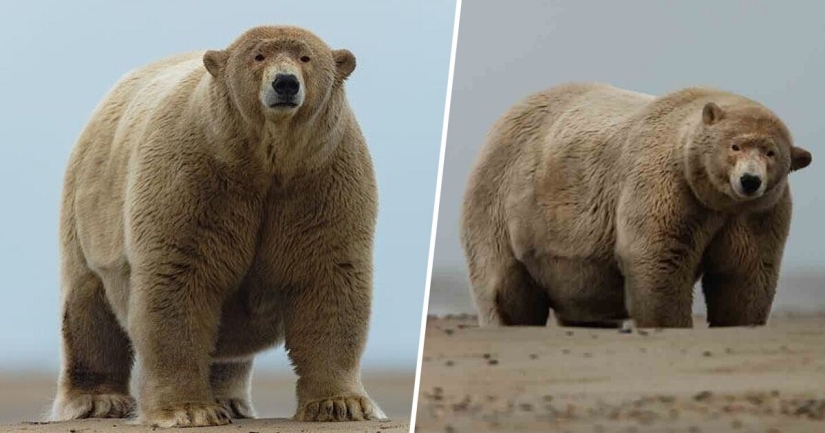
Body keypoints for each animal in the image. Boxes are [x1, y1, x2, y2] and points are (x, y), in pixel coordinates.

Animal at [51, 25, 386, 427]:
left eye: (306, 57)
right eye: (258, 56)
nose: (286, 83)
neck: (265, 162)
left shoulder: (322, 180)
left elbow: (328, 279)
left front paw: (341, 404)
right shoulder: (194, 177)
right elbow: (179, 280)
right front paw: (188, 410)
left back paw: (231, 400)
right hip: (89, 210)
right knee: (88, 305)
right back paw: (97, 401)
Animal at [461, 83, 812, 329]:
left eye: (771, 152)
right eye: (735, 146)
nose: (750, 181)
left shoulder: (755, 213)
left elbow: (745, 270)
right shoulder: (667, 185)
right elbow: (658, 258)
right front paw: (671, 323)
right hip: (503, 201)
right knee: (503, 284)